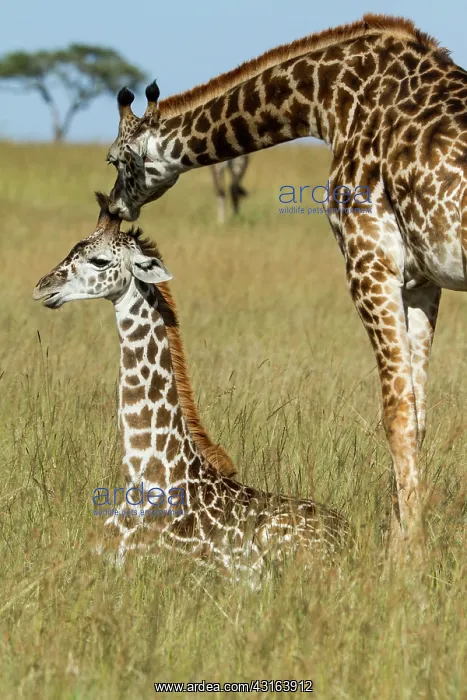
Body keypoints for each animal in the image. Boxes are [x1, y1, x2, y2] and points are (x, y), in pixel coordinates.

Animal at [103, 13, 467, 556]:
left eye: (113, 159)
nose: (112, 207)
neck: (330, 99)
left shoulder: (368, 258)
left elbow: (396, 415)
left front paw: (407, 557)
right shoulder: (422, 280)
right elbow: (418, 412)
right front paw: (404, 541)